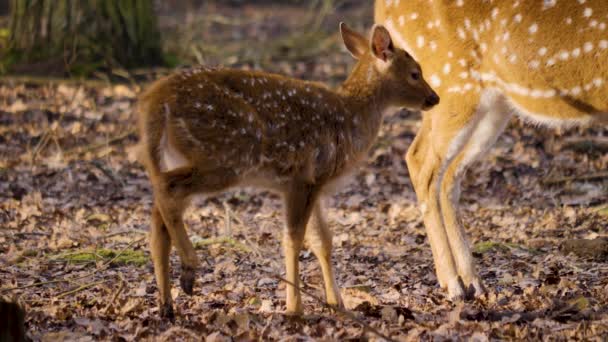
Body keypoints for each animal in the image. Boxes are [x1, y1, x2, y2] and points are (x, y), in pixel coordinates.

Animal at [136, 23, 440, 318]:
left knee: (160, 208)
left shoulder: (314, 184)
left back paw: (167, 304)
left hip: (185, 156)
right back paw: (190, 268)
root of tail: (156, 98)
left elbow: (323, 240)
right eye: (415, 73)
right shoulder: (301, 178)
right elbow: (293, 239)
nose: (434, 98)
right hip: (226, 156)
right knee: (166, 187)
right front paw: (295, 308)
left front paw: (336, 303)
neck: (352, 116)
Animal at [376, 0, 608, 300]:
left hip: (491, 104)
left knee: (447, 174)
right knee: (420, 161)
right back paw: (453, 284)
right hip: (450, 81)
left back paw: (472, 280)